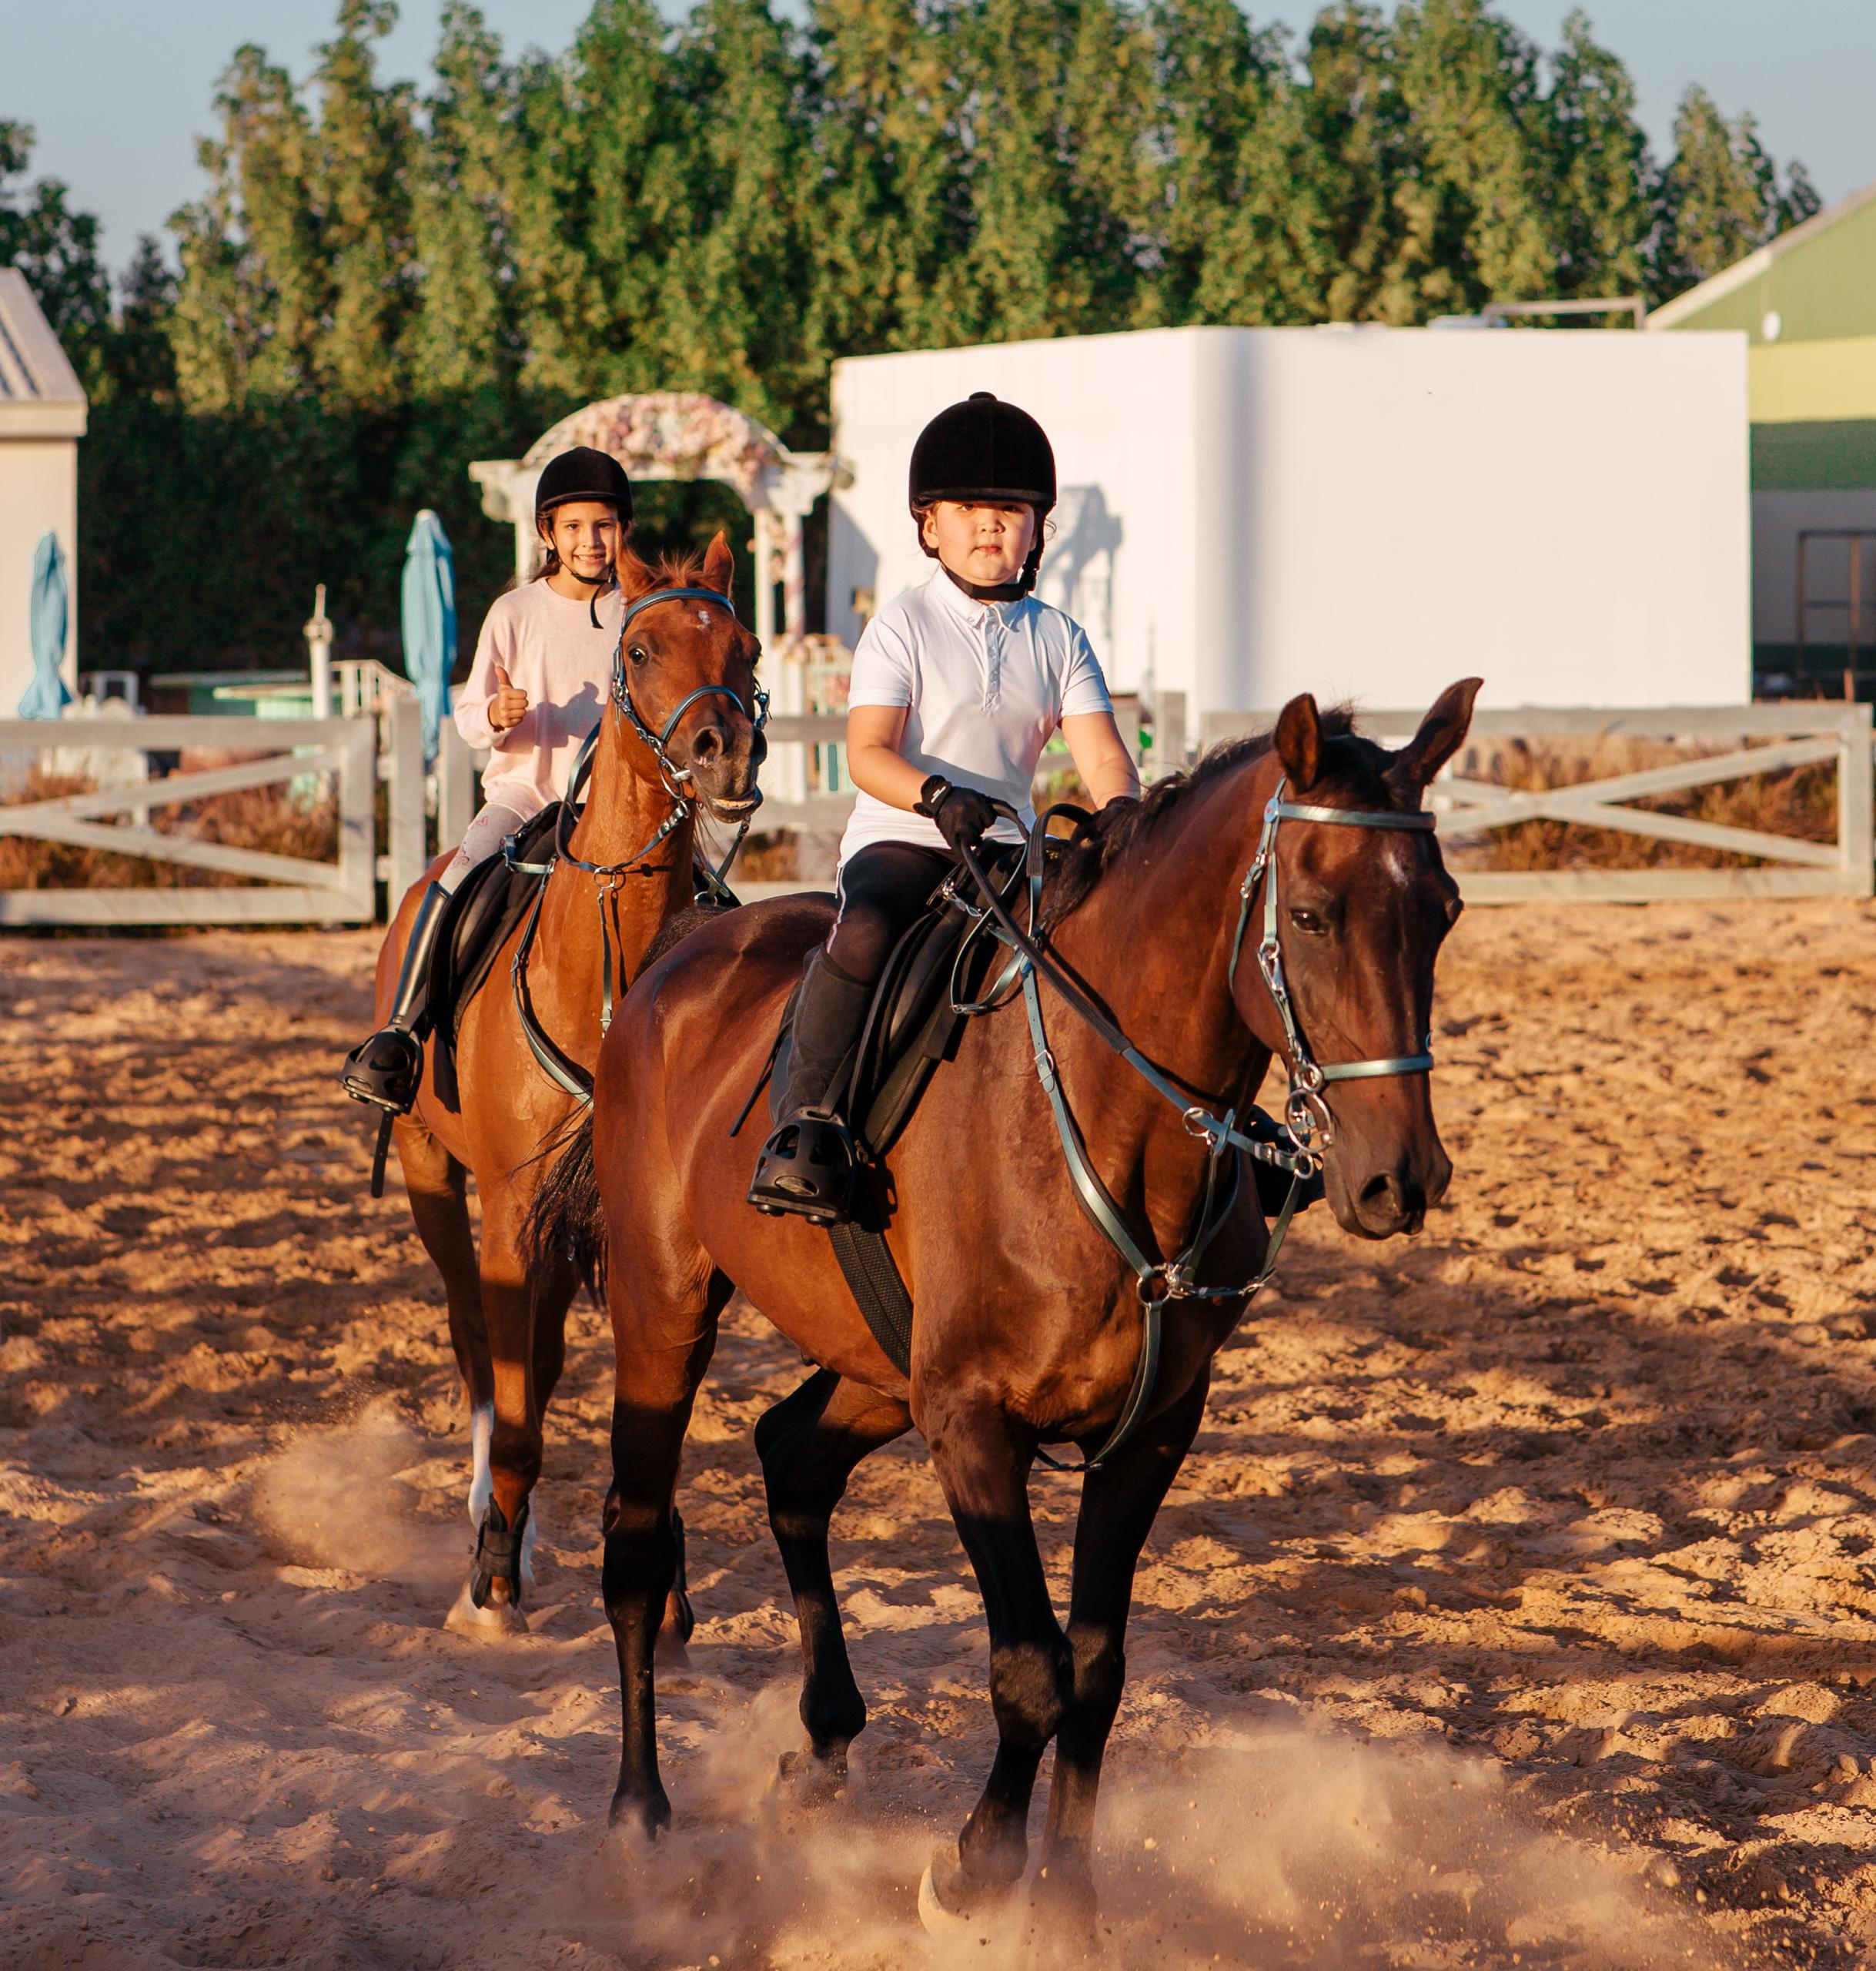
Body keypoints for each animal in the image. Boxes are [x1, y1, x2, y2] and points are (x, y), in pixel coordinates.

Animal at [375, 533, 765, 1635]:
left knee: (533, 1363)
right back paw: (490, 1516)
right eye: (637, 650)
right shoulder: (510, 1211)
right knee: (480, 1346)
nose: (728, 751)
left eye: (749, 645)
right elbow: (512, 1397)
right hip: (432, 1176)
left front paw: (662, 1576)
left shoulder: (650, 1229)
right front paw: (493, 1575)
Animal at [532, 679, 1479, 1931]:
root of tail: (679, 960)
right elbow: (1031, 1668)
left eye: (1444, 912)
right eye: (1316, 916)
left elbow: (1099, 1672)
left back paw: (823, 1744)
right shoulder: (975, 1424)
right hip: (667, 1314)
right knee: (639, 1546)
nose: (1398, 1180)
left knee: (791, 1457)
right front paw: (974, 1868)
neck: (1105, 1125)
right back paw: (640, 1814)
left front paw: (1069, 1900)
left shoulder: (1147, 1436)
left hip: (881, 1369)